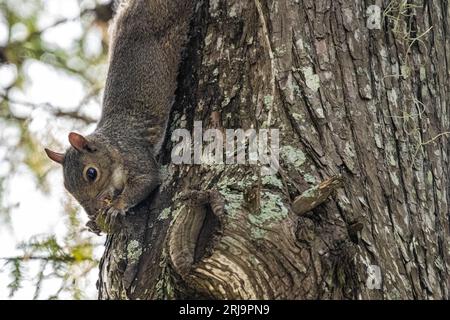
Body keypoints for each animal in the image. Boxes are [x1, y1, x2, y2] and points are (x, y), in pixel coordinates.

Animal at [44, 0, 195, 235]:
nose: (92, 212)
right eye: (67, 187)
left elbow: (147, 180)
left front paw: (117, 206)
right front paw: (92, 223)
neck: (111, 144)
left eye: (91, 173)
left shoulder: (133, 153)